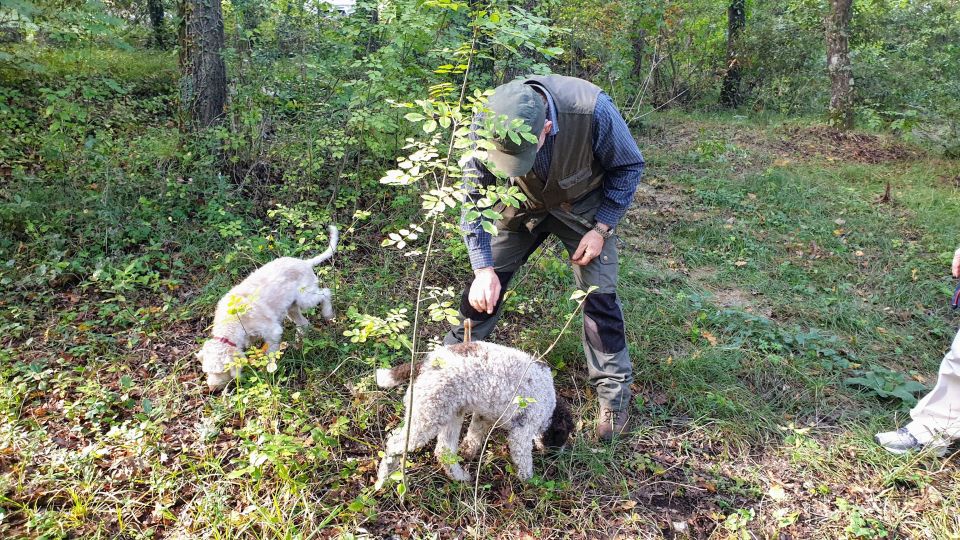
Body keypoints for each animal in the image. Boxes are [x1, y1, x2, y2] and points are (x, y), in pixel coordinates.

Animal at [195, 225, 338, 392]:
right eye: (207, 371)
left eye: (221, 371)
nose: (211, 389)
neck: (233, 321)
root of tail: (304, 263)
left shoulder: (272, 331)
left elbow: (270, 352)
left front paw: (270, 370)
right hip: (292, 307)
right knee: (304, 323)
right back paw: (299, 341)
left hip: (305, 298)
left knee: (326, 293)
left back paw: (328, 314)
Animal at [374, 342, 568, 490]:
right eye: (561, 438)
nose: (556, 457)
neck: (550, 406)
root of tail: (428, 361)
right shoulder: (522, 432)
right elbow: (524, 460)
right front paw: (531, 482)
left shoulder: (484, 415)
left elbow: (474, 435)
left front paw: (468, 451)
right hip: (428, 415)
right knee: (394, 444)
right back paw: (383, 479)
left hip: (450, 412)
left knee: (444, 450)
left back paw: (459, 477)